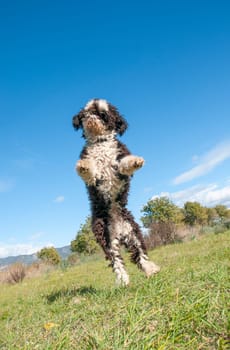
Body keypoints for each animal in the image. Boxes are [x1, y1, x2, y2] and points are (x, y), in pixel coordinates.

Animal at [73, 98, 159, 284]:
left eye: (103, 114)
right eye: (86, 113)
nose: (92, 116)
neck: (100, 143)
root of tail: (119, 231)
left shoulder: (118, 165)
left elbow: (124, 163)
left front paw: (135, 161)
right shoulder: (96, 177)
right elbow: (91, 170)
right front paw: (83, 166)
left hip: (134, 232)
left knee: (140, 254)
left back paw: (150, 269)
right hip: (105, 238)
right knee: (116, 260)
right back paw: (123, 280)